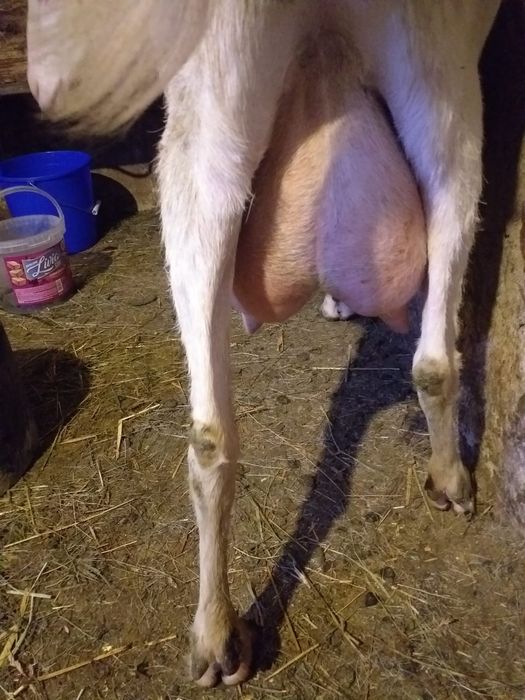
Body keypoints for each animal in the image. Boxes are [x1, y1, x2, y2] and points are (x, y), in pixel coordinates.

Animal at [27, 0, 502, 687]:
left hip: (209, 112)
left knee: (211, 431)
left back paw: (216, 637)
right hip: (435, 71)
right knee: (434, 349)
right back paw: (449, 479)